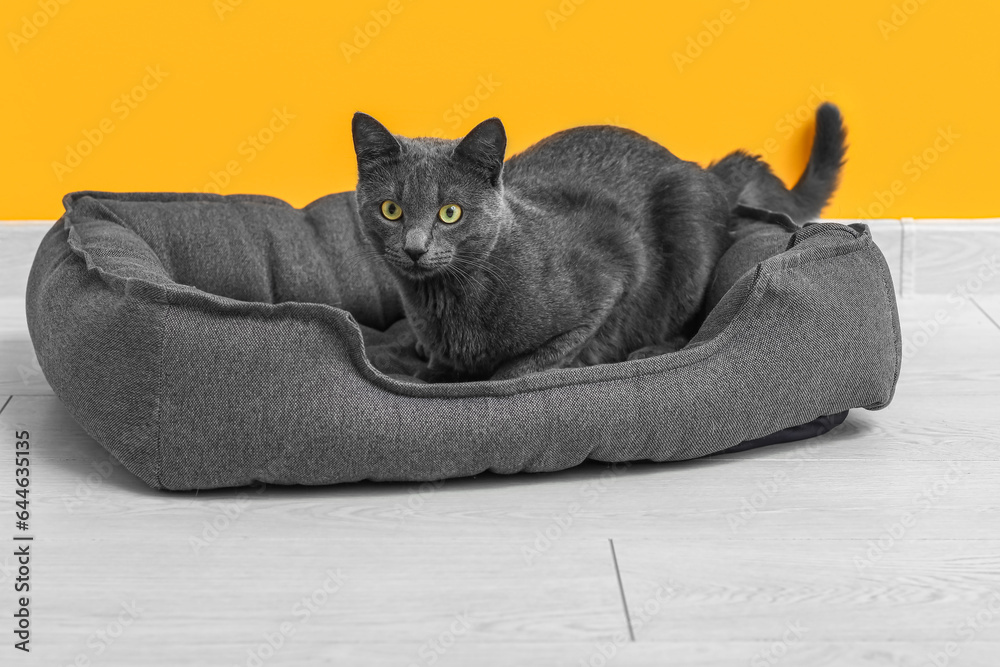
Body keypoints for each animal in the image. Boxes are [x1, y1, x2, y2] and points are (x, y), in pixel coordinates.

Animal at [352, 102, 844, 378]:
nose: (415, 248)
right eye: (391, 210)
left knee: (686, 324)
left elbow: (518, 370)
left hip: (685, 229)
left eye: (449, 213)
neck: (444, 305)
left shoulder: (617, 268)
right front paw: (431, 361)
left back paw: (648, 351)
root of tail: (706, 172)